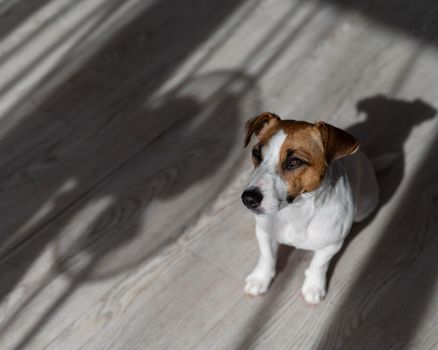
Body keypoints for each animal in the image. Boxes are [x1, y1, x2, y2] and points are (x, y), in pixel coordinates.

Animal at [241, 112, 378, 304]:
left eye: (294, 161)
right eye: (256, 153)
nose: (248, 199)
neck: (295, 211)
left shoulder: (331, 245)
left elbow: (318, 264)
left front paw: (313, 286)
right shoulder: (264, 232)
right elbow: (267, 256)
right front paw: (260, 279)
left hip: (366, 207)